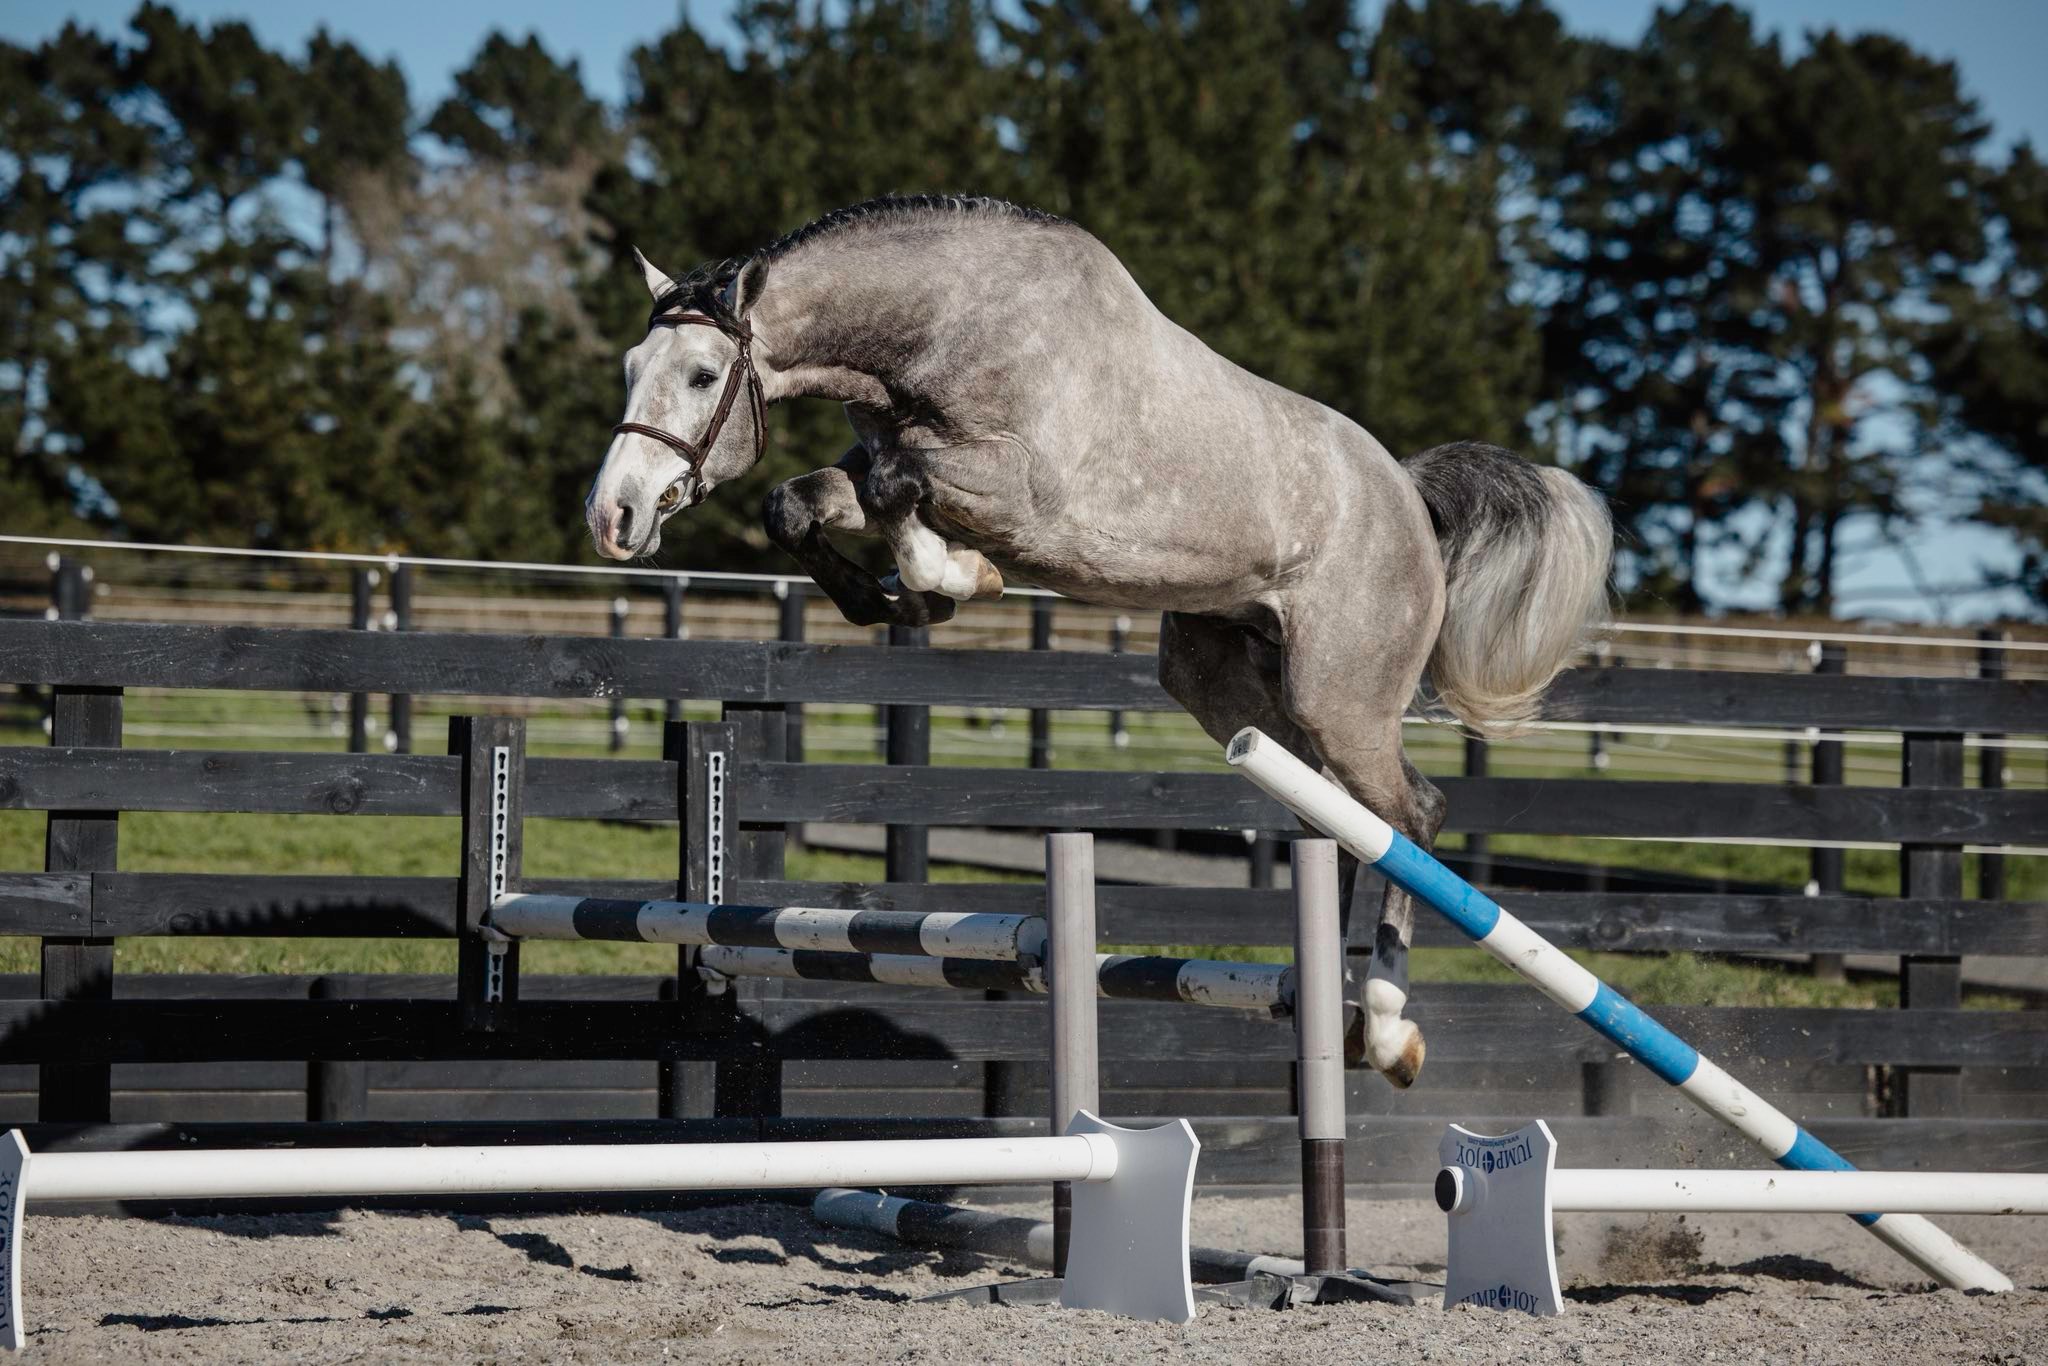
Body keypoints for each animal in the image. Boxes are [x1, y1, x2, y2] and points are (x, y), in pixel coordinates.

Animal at [585, 194, 1610, 1088]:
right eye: (631, 367)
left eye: (702, 376)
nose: (613, 516)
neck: (943, 331)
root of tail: (1408, 496)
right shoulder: (892, 469)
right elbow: (805, 501)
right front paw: (905, 598)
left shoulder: (1013, 489)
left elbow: (896, 483)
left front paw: (955, 578)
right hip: (1233, 693)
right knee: (1354, 821)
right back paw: (1340, 1006)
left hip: (1342, 697)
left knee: (1413, 816)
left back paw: (1391, 1026)